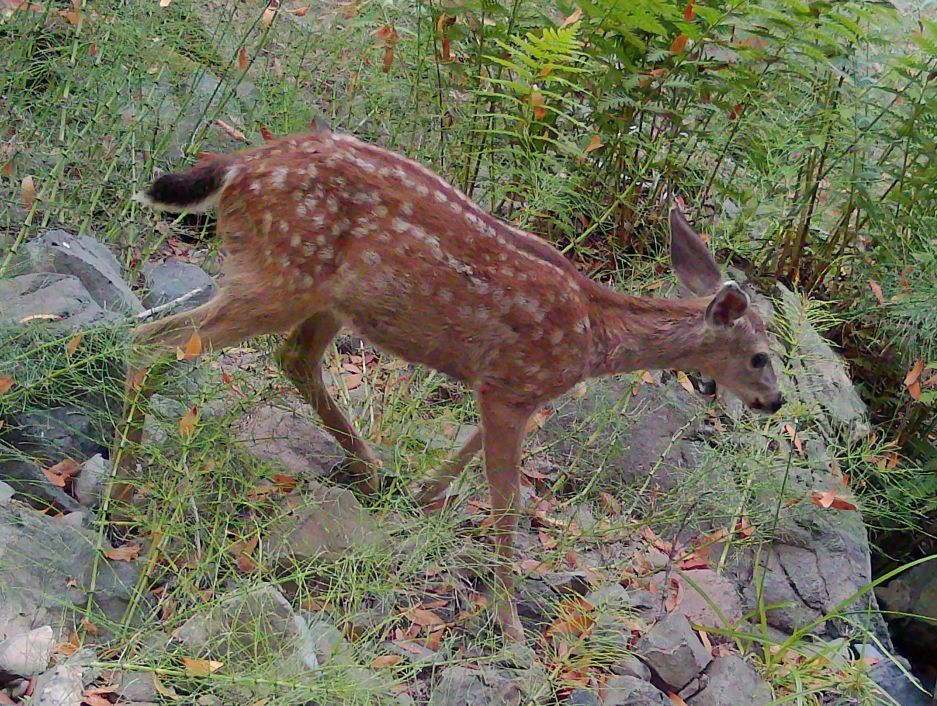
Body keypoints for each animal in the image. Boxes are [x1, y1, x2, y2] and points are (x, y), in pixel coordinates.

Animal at [112, 126, 783, 642]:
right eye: (759, 357)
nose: (774, 402)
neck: (594, 336)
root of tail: (237, 166)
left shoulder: (506, 388)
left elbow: (467, 448)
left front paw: (423, 495)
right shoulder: (513, 383)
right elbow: (508, 503)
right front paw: (510, 628)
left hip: (325, 295)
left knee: (292, 357)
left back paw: (372, 473)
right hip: (279, 274)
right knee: (151, 340)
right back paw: (121, 496)